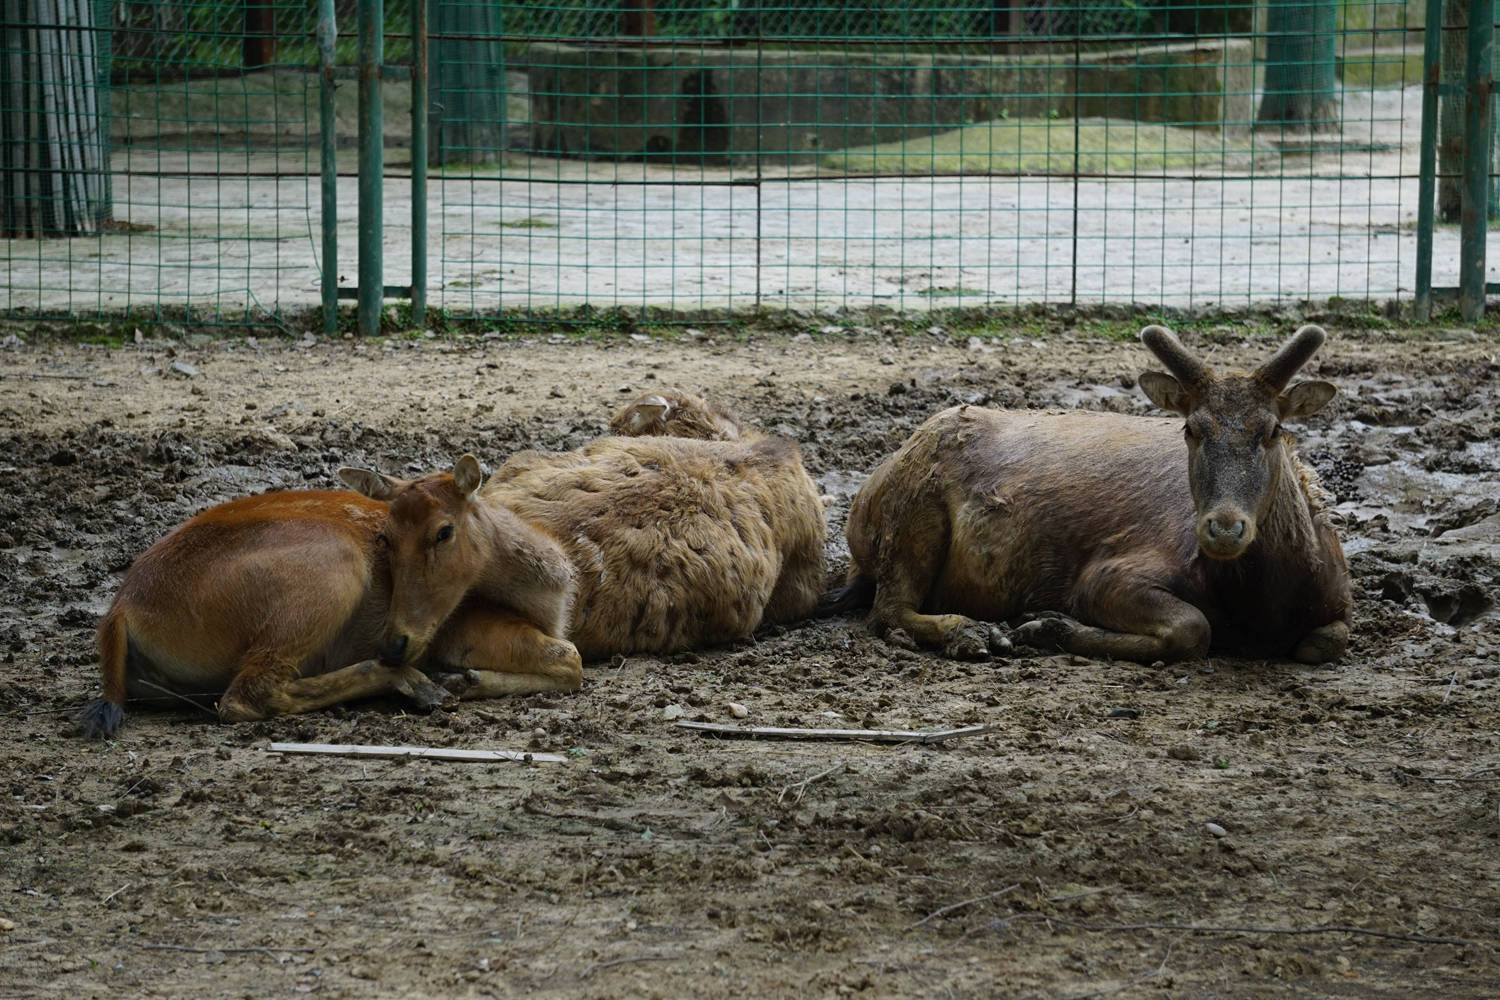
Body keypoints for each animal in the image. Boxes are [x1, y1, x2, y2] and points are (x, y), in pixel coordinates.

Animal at [78, 392, 824, 737]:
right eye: (387, 540)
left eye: (442, 533)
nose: (398, 638)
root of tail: (122, 610)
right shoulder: (467, 624)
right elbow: (567, 661)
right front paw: (458, 679)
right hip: (324, 573)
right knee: (246, 693)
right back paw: (415, 683)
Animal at [822, 325, 1352, 665]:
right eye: (1190, 428)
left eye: (1274, 429)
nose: (1223, 528)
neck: (1266, 606)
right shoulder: (1107, 573)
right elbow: (1194, 628)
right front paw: (1045, 625)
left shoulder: (1341, 605)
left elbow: (1326, 643)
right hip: (911, 510)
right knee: (886, 608)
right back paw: (971, 631)